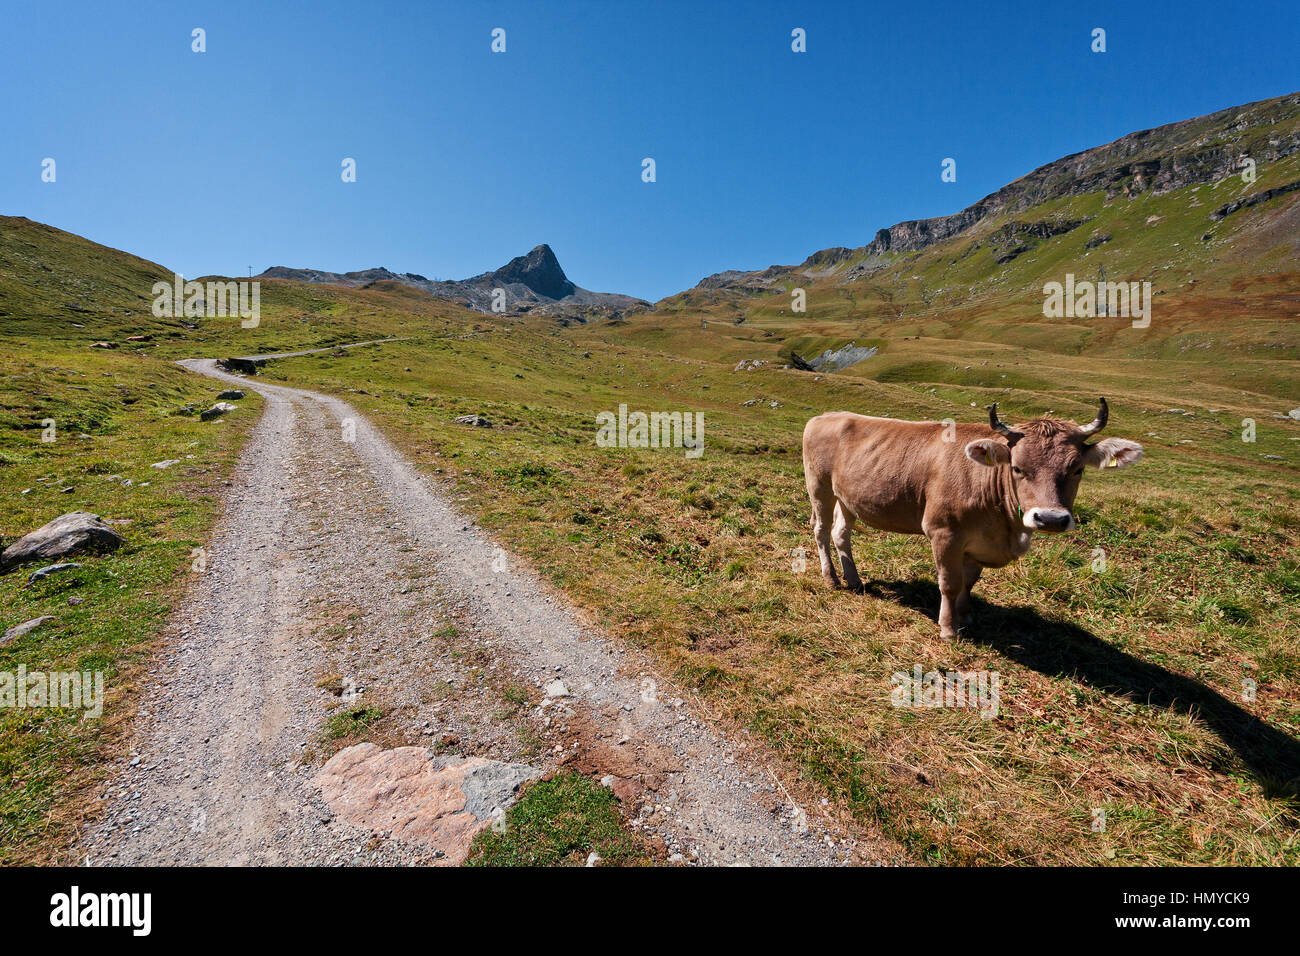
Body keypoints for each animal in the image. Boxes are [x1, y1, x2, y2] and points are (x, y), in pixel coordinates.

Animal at [800, 400, 1138, 639]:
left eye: (1077, 469)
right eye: (1017, 467)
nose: (1051, 518)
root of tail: (826, 416)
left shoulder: (978, 544)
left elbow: (969, 582)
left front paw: (966, 618)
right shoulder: (943, 532)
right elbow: (950, 583)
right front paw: (949, 629)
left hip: (848, 496)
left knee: (841, 533)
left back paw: (854, 580)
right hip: (819, 485)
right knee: (821, 529)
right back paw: (831, 578)